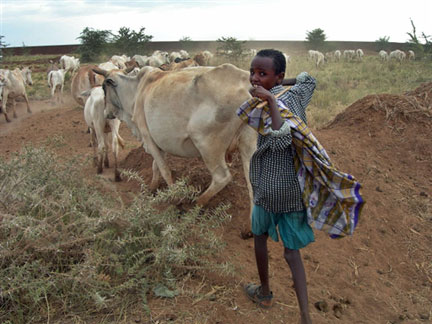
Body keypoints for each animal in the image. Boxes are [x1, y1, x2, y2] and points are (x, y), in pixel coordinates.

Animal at [93, 65, 256, 210]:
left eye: (103, 88)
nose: (106, 112)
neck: (136, 91)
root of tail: (246, 84)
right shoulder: (159, 143)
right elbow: (155, 166)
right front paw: (152, 188)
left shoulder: (147, 137)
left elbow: (164, 169)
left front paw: (176, 197)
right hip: (249, 143)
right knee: (252, 187)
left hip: (207, 145)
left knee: (221, 177)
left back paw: (196, 204)